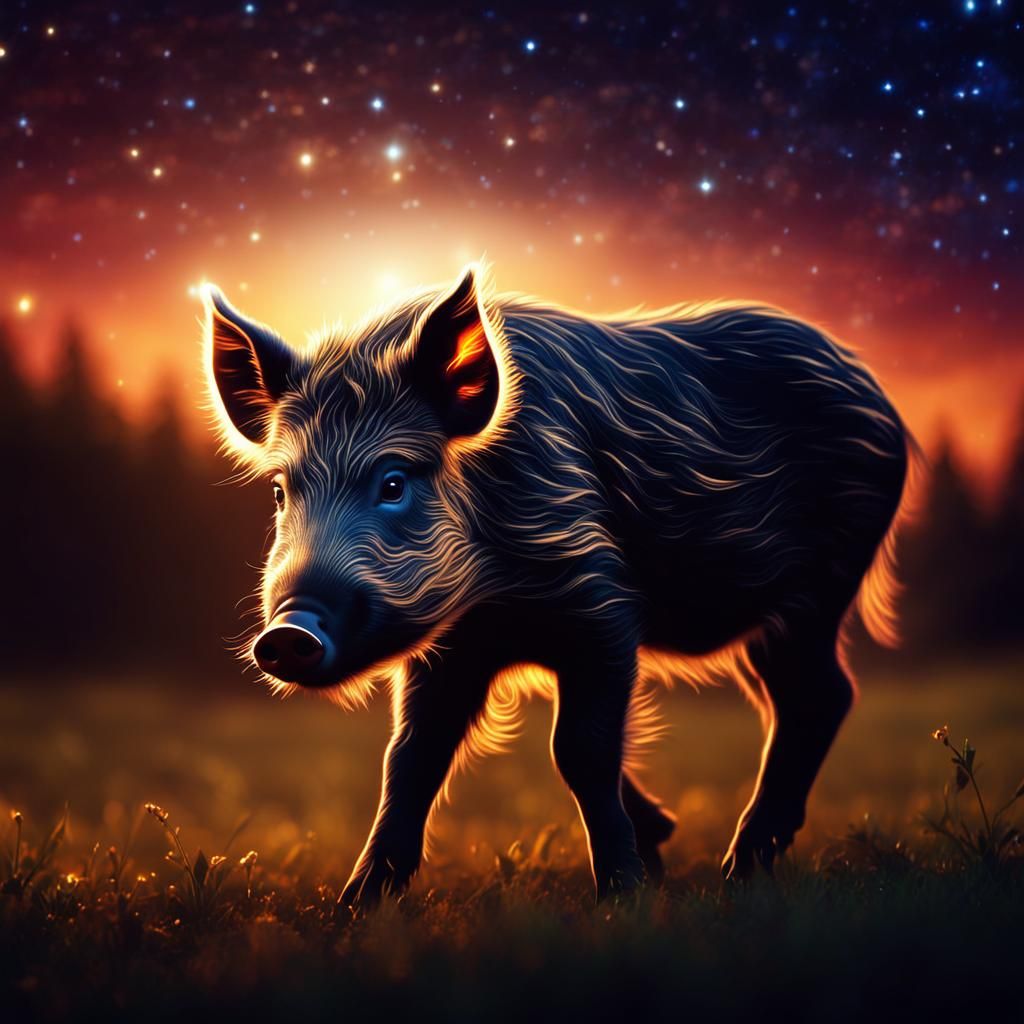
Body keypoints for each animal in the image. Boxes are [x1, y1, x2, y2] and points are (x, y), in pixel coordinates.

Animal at [201, 264, 916, 909]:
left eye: (394, 482)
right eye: (280, 490)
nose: (288, 632)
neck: (494, 593)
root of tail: (875, 394)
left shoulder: (601, 609)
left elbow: (579, 749)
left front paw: (626, 897)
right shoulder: (453, 649)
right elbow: (410, 758)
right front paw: (352, 911)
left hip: (819, 587)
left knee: (821, 695)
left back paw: (739, 872)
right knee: (805, 697)